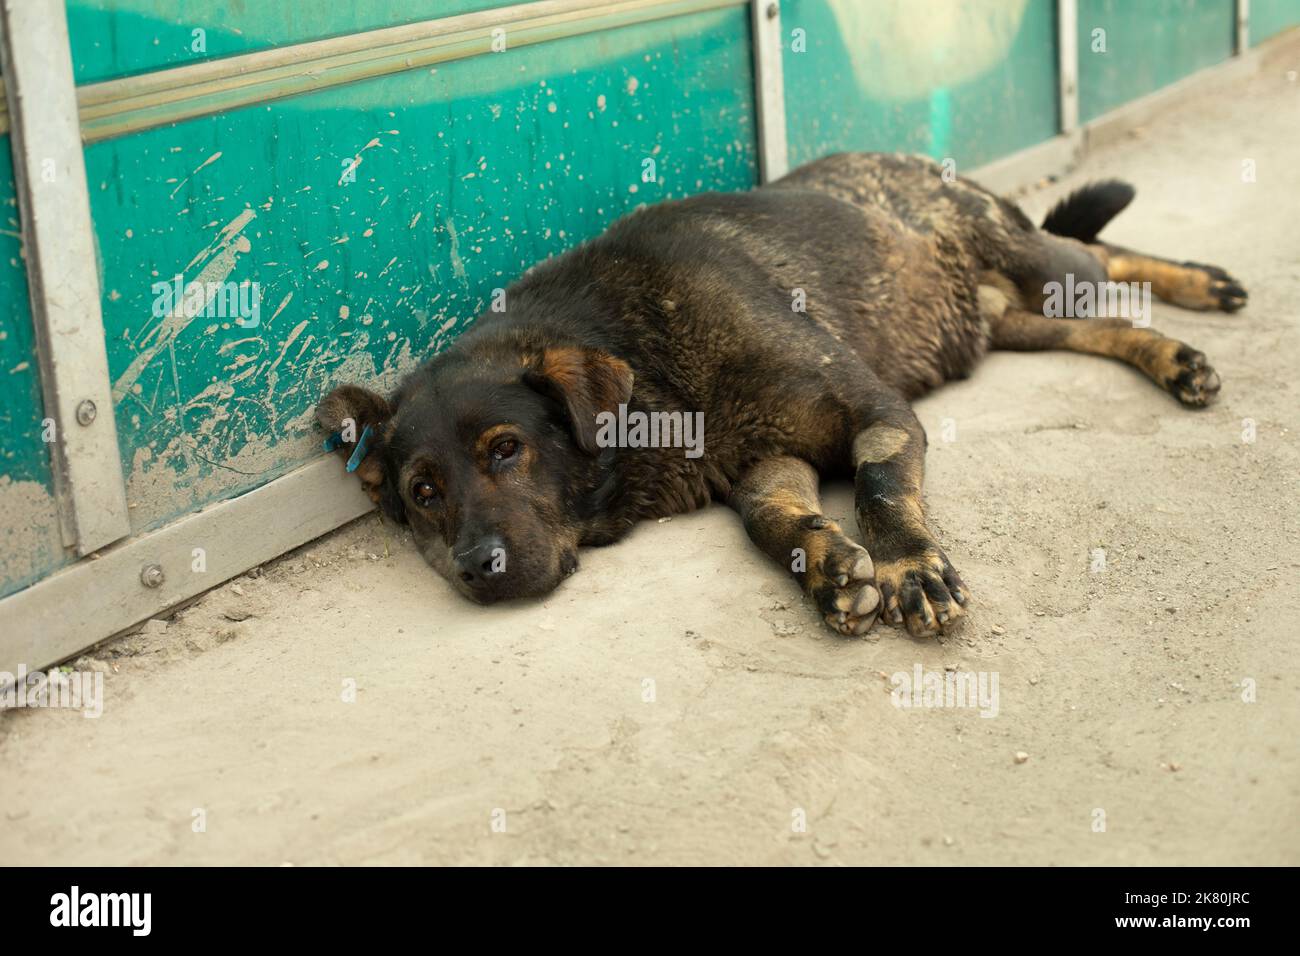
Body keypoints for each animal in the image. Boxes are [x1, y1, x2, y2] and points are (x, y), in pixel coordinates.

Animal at [317, 153, 1248, 639]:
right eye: (423, 494)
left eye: (506, 449)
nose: (477, 568)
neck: (648, 362)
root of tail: (920, 159)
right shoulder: (769, 461)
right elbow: (769, 524)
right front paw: (829, 565)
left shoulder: (877, 414)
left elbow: (879, 488)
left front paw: (907, 566)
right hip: (1007, 325)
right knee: (1095, 325)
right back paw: (1170, 354)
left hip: (1042, 265)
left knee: (1098, 253)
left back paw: (1202, 286)